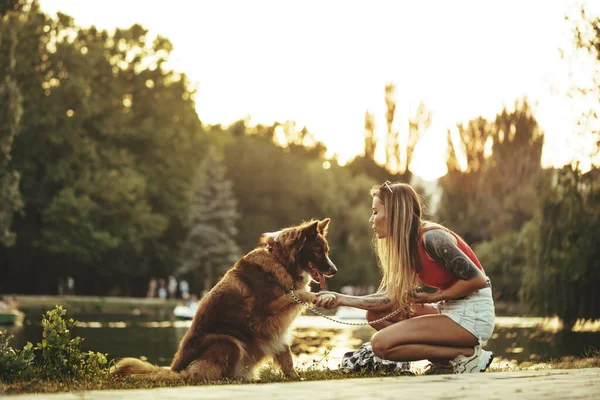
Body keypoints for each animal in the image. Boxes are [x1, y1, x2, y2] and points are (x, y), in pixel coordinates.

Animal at [114, 219, 336, 382]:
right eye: (318, 251)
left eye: (327, 251)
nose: (334, 270)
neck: (281, 261)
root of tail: (176, 370)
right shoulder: (263, 315)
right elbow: (297, 294)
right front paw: (317, 296)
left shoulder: (276, 328)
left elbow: (286, 355)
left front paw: (295, 377)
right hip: (228, 341)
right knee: (206, 376)